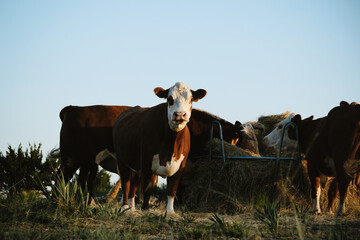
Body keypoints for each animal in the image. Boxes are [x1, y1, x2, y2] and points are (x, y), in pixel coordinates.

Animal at [114, 82, 207, 214]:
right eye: (169, 99)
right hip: (122, 160)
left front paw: (170, 212)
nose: (180, 114)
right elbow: (147, 189)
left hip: (136, 166)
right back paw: (124, 208)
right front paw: (145, 209)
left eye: (191, 99)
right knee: (125, 184)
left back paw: (131, 209)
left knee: (133, 185)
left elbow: (172, 189)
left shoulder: (180, 165)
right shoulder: (146, 162)